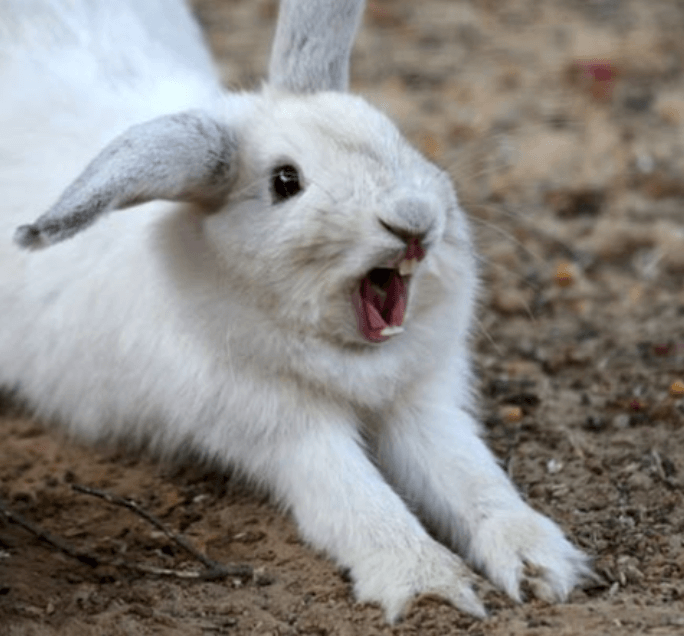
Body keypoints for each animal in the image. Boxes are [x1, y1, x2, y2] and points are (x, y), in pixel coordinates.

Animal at [0, 0, 588, 620]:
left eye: (393, 134)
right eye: (285, 181)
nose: (414, 220)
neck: (352, 356)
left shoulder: (423, 404)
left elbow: (471, 477)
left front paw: (544, 565)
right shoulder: (287, 430)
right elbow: (359, 501)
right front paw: (431, 588)